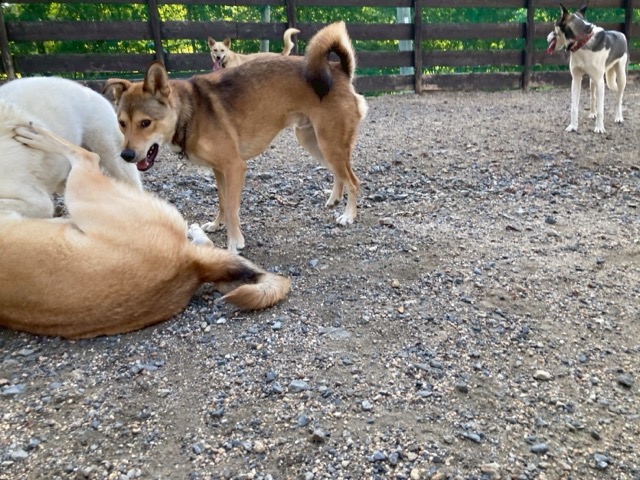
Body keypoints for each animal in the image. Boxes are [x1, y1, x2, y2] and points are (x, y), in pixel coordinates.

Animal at [104, 21, 368, 254]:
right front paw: (216, 224)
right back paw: (334, 199)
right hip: (314, 142)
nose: (126, 155)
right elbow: (222, 201)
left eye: (145, 123)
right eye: (121, 123)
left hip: (329, 144)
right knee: (340, 174)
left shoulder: (234, 167)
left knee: (353, 180)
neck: (189, 113)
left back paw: (348, 215)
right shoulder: (219, 170)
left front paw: (234, 243)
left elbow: (232, 208)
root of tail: (339, 70)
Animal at [546, 4, 628, 133]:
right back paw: (592, 113)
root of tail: (621, 34)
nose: (548, 36)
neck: (581, 42)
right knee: (593, 98)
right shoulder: (576, 79)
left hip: (620, 76)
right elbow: (574, 107)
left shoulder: (600, 82)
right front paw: (573, 126)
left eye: (554, 27)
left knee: (618, 99)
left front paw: (599, 128)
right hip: (592, 81)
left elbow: (601, 109)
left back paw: (618, 117)